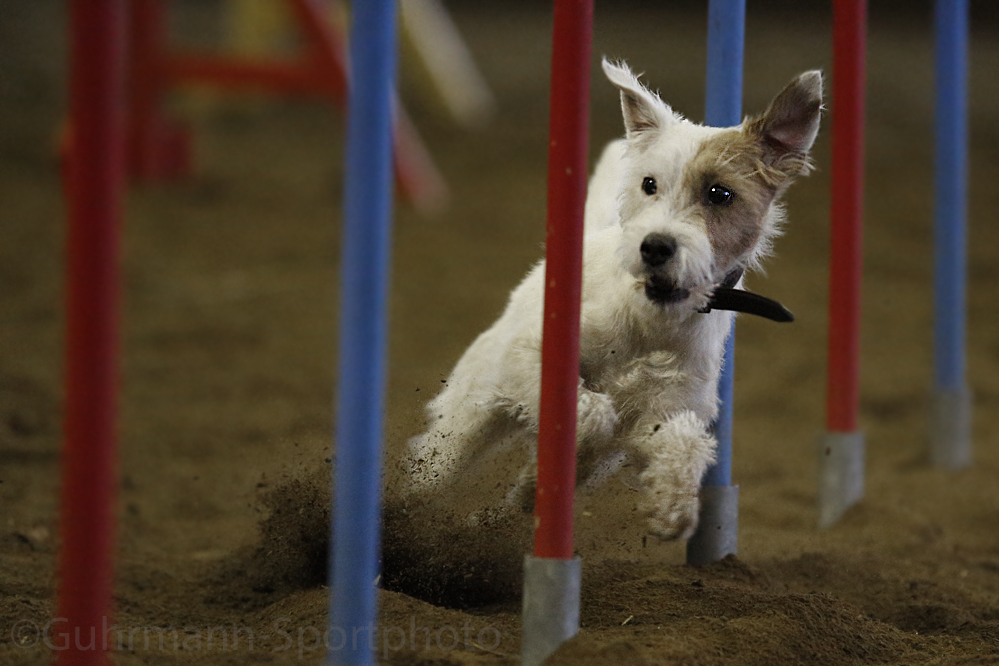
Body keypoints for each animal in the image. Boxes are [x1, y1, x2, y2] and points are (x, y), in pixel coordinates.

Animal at [406, 59, 820, 540]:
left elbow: (684, 444)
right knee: (431, 470)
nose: (655, 246)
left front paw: (672, 506)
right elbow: (591, 414)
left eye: (720, 193)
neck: (652, 321)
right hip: (470, 415)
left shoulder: (666, 410)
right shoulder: (531, 354)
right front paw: (581, 434)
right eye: (649, 184)